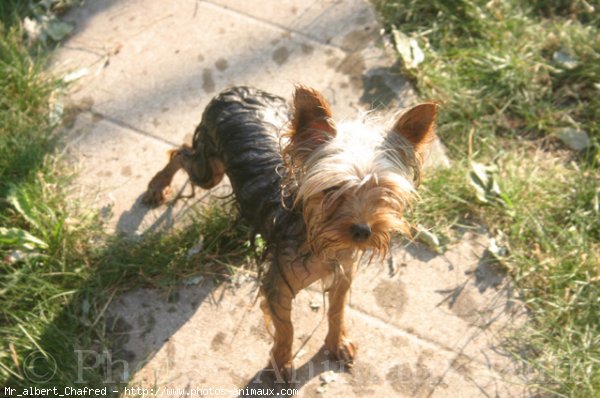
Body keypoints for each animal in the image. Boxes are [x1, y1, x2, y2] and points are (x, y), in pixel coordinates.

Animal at [144, 86, 438, 380]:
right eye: (331, 190)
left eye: (385, 190)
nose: (363, 230)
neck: (319, 237)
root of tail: (235, 90)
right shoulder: (278, 284)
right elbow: (286, 327)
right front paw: (282, 363)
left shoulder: (344, 271)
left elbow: (337, 309)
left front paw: (337, 343)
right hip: (209, 171)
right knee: (181, 154)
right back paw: (158, 185)